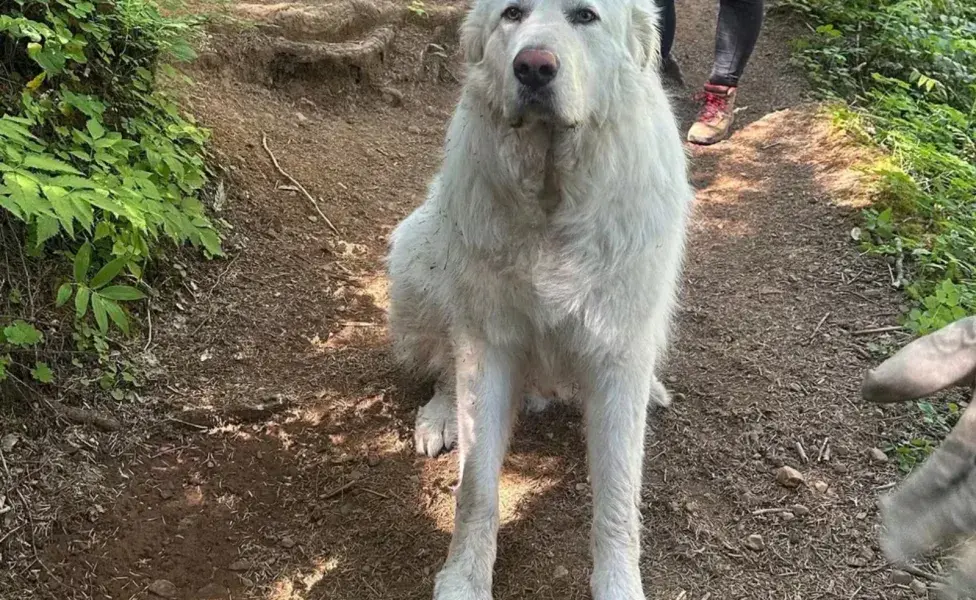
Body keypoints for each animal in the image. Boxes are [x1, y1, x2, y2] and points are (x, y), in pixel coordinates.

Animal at [386, 2, 692, 596]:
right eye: (513, 14)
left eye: (585, 16)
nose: (532, 67)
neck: (554, 196)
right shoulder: (488, 346)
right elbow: (475, 489)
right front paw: (464, 579)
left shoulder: (617, 352)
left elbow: (618, 497)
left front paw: (619, 583)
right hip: (416, 258)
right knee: (443, 365)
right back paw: (440, 416)